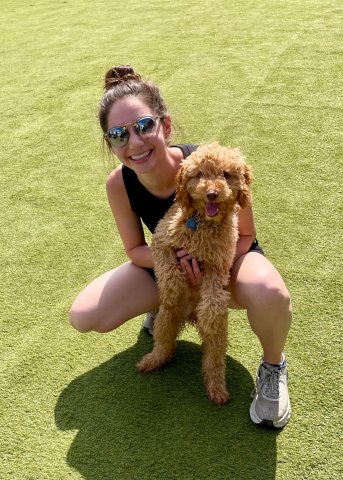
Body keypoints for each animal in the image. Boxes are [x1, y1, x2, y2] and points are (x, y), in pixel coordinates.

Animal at [136, 142, 253, 404]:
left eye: (226, 174)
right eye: (199, 175)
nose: (212, 193)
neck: (202, 224)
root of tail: (188, 316)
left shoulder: (218, 265)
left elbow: (213, 296)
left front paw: (208, 313)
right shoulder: (162, 241)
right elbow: (169, 269)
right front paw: (173, 287)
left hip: (217, 339)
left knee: (213, 362)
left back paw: (217, 390)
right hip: (165, 319)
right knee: (164, 345)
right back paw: (152, 361)